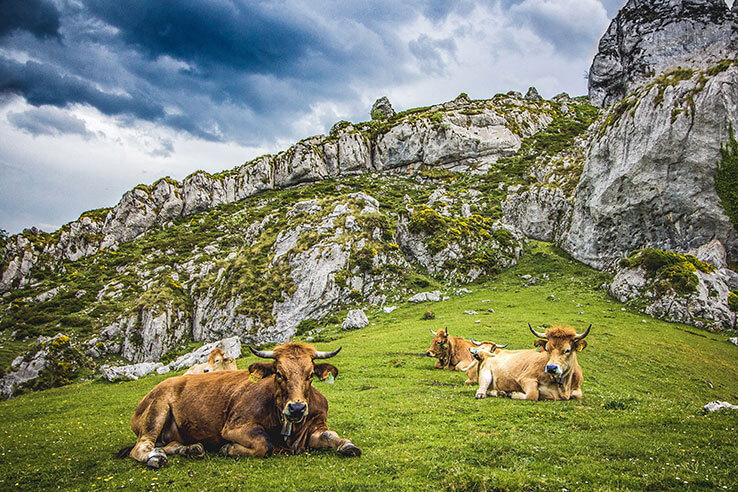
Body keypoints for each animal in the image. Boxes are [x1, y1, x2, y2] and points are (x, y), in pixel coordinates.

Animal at [118, 343, 360, 468]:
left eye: (310, 375)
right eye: (279, 374)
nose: (297, 408)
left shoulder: (315, 427)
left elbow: (330, 435)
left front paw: (347, 445)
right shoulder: (234, 426)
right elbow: (264, 443)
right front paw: (228, 448)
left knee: (171, 444)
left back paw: (191, 449)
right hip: (156, 411)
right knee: (141, 446)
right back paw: (155, 457)